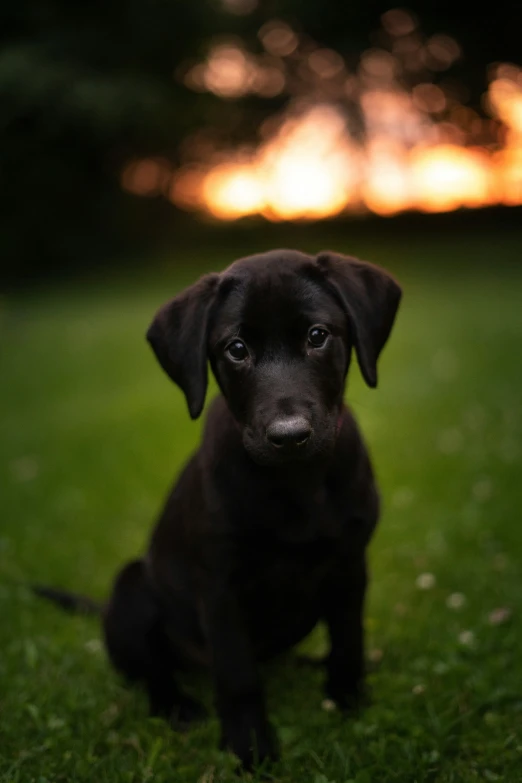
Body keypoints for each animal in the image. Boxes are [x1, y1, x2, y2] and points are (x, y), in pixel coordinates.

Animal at [37, 250, 402, 772]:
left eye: (317, 336)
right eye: (236, 349)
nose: (289, 435)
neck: (296, 482)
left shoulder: (350, 564)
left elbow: (348, 638)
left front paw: (347, 697)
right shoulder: (220, 588)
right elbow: (237, 675)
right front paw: (250, 747)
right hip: (132, 589)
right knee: (153, 673)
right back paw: (177, 705)